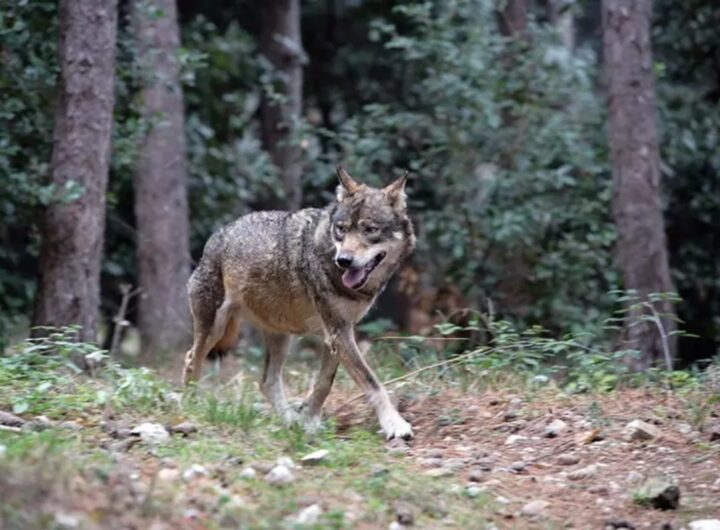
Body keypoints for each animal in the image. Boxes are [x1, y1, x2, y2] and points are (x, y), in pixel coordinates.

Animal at [182, 167, 415, 439]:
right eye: (341, 229)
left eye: (370, 230)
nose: (344, 260)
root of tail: (217, 235)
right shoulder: (338, 333)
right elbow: (372, 382)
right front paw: (395, 424)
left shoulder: (337, 334)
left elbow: (324, 383)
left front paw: (308, 420)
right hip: (215, 329)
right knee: (191, 360)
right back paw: (190, 407)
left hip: (281, 337)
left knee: (267, 382)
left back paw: (289, 421)